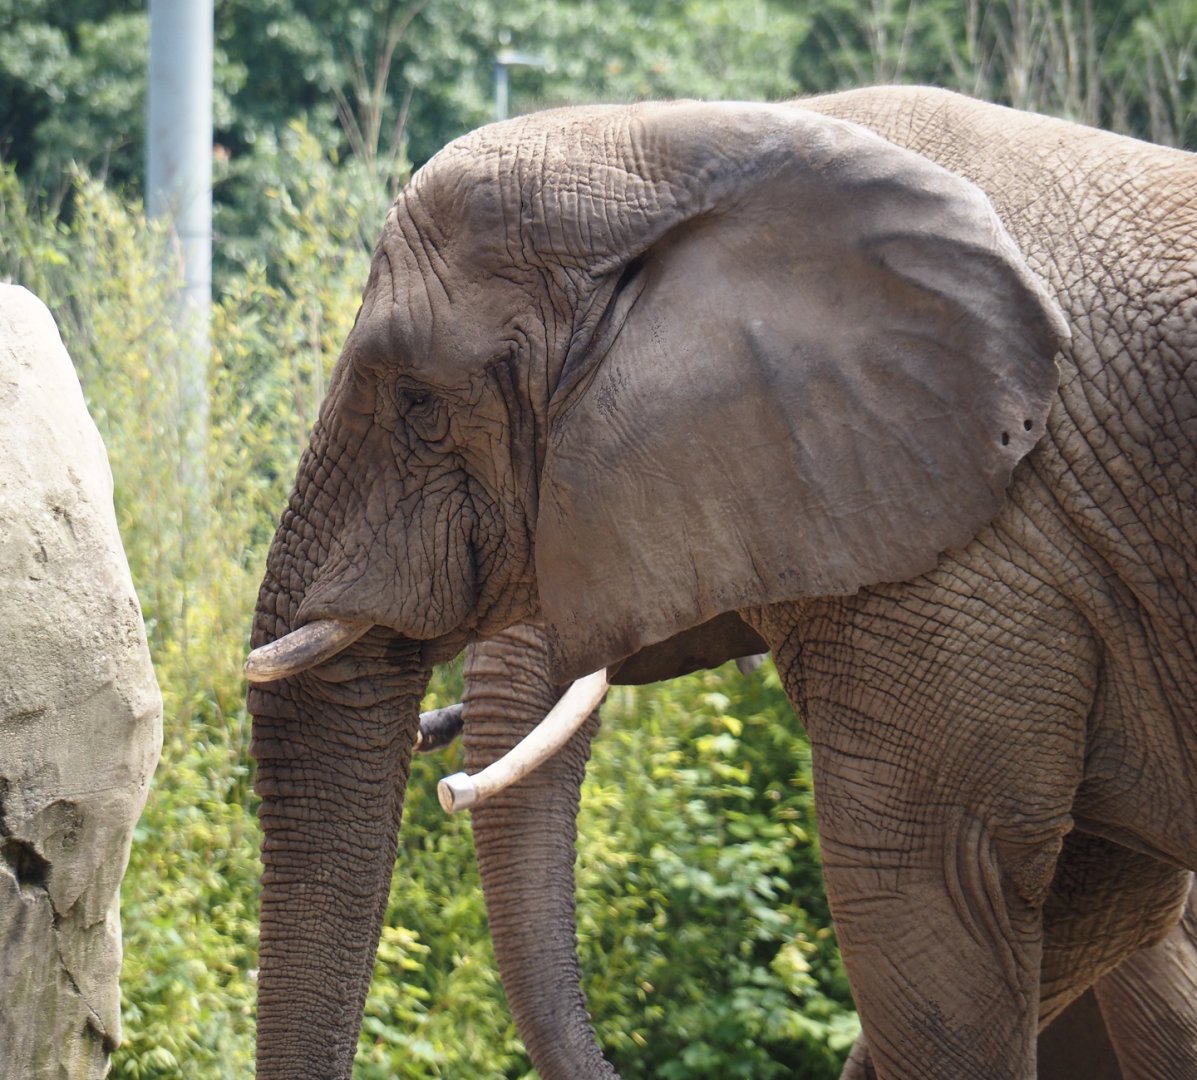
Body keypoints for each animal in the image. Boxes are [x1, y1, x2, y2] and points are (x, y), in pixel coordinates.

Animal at [246, 85, 1197, 1079]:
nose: (443, 773)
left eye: (421, 407)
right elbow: (1102, 893)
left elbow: (936, 894)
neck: (715, 140)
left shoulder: (980, 556)